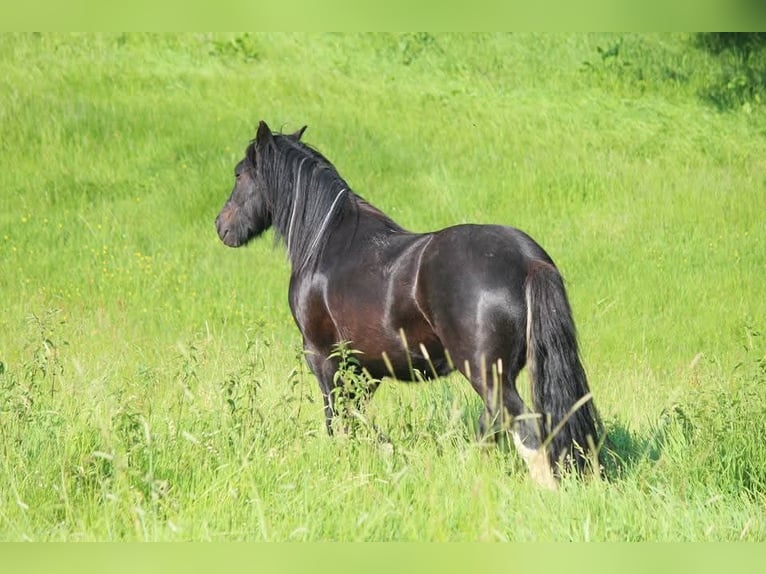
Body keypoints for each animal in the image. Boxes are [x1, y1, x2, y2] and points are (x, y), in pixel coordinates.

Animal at [215, 120, 603, 487]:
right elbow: (357, 418)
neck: (325, 242)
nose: (222, 226)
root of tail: (528, 261)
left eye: (239, 174)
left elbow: (337, 419)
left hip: (485, 373)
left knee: (520, 427)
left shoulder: (323, 358)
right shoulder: (366, 367)